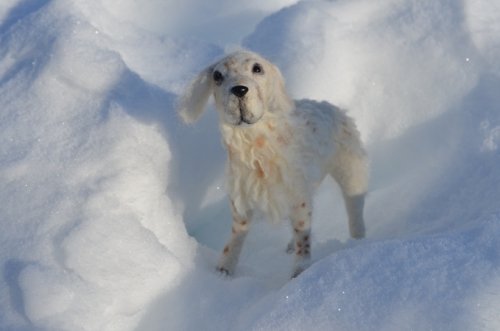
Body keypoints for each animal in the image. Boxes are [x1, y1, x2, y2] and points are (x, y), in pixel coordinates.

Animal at [178, 50, 366, 278]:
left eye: (257, 68)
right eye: (217, 75)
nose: (239, 89)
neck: (256, 144)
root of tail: (332, 107)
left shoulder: (297, 193)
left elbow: (303, 235)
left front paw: (300, 271)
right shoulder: (241, 197)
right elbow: (237, 234)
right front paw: (223, 270)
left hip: (350, 170)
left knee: (355, 211)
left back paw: (357, 243)